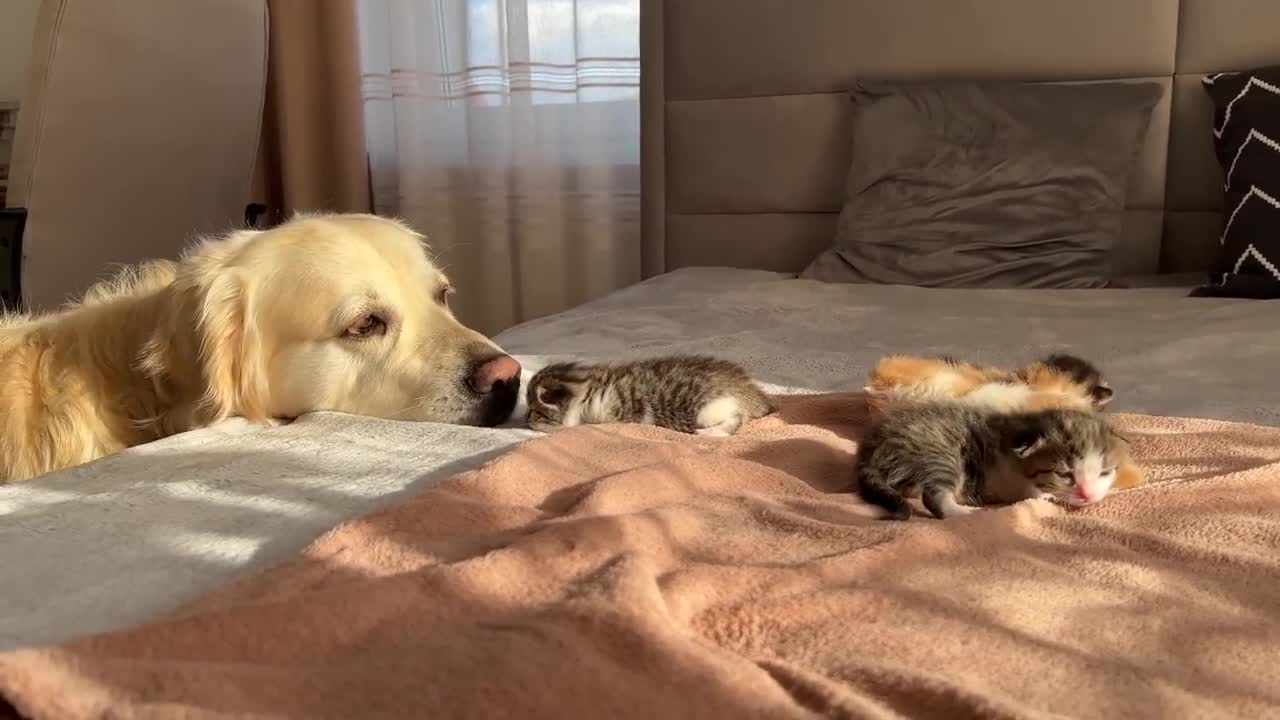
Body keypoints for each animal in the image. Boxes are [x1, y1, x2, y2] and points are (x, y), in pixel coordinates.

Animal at [855, 399, 1126, 517]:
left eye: (1105, 472)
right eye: (1064, 474)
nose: (1088, 495)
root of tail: (871, 447)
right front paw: (1050, 495)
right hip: (940, 454)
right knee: (933, 496)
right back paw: (966, 513)